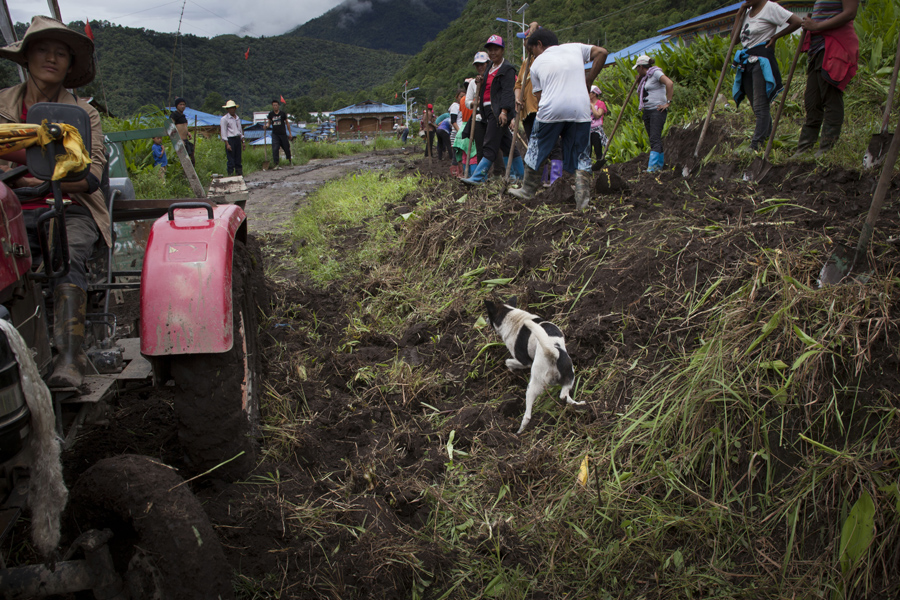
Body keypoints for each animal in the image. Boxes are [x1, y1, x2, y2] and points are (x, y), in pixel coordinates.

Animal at [482, 298, 580, 432]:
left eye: (489, 315)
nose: (485, 319)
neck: (512, 316)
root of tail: (552, 352)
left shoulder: (523, 361)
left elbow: (508, 362)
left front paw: (513, 371)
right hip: (569, 376)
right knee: (564, 396)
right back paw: (580, 405)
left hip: (533, 386)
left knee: (527, 415)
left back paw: (519, 431)